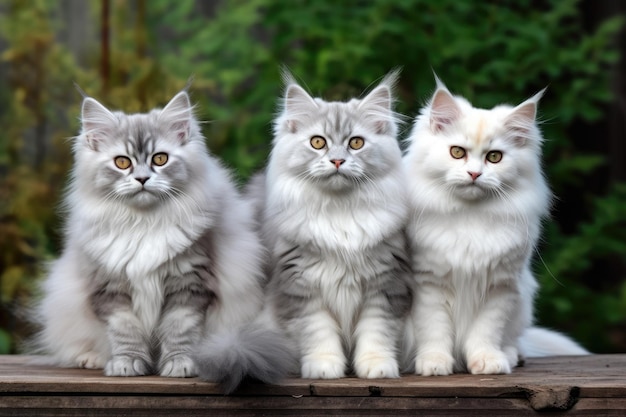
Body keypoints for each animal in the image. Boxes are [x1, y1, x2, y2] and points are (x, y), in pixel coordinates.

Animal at [31, 89, 290, 392]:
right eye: (122, 162)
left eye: (160, 159)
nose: (142, 179)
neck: (145, 224)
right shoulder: (111, 288)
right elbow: (125, 331)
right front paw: (126, 364)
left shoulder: (189, 282)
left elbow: (179, 329)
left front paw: (180, 365)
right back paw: (91, 359)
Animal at [249, 70, 414, 378]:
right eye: (318, 142)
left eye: (356, 143)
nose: (337, 160)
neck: (339, 211)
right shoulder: (302, 287)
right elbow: (318, 332)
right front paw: (324, 367)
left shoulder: (384, 284)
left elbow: (376, 332)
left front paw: (377, 366)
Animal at [400, 76, 584, 376]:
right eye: (457, 153)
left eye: (494, 157)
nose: (474, 174)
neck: (471, 216)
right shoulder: (428, 284)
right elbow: (435, 331)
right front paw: (434, 363)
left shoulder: (501, 287)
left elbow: (485, 333)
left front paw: (487, 362)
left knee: (512, 341)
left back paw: (511, 356)